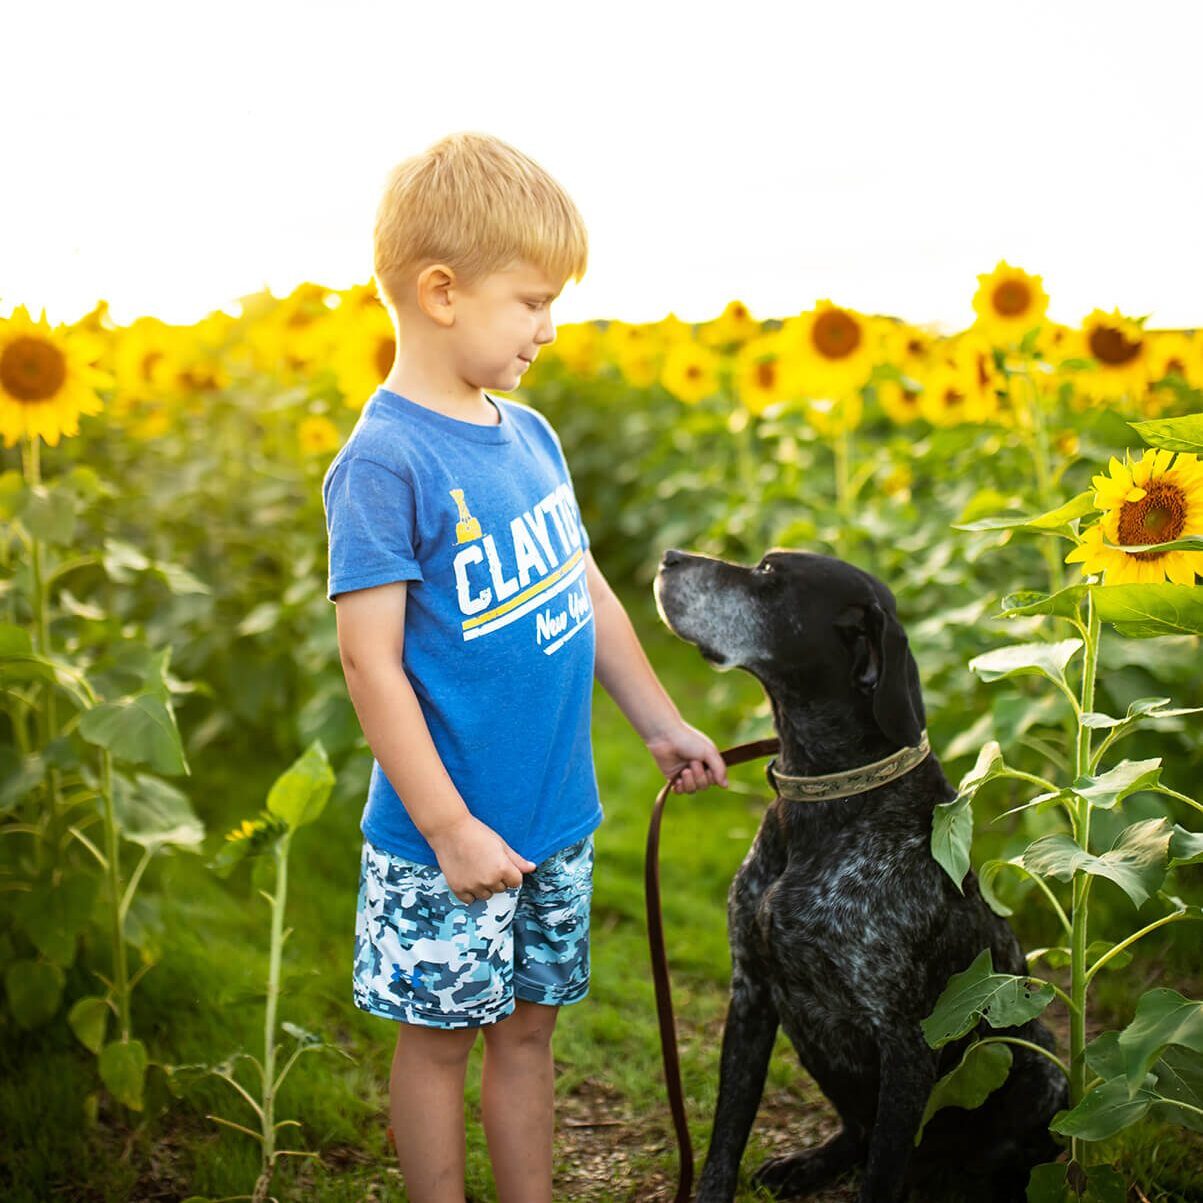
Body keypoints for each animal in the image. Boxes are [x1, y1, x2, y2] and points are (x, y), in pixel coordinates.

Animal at [654, 548, 1068, 1203]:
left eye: (768, 575)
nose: (669, 557)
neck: (828, 796)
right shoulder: (750, 995)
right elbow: (726, 1136)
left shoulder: (908, 1043)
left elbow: (880, 1177)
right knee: (857, 1134)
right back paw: (807, 1165)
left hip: (1039, 1064)